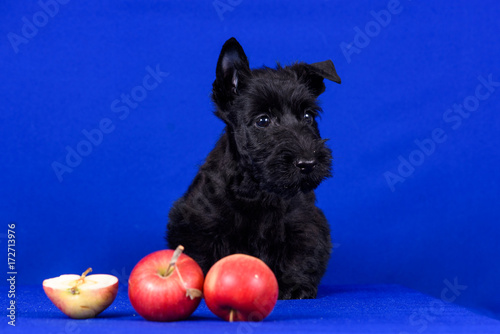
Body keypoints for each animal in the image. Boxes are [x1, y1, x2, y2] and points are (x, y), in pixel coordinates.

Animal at [167, 37, 340, 298]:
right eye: (263, 120)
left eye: (308, 116)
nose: (308, 164)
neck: (257, 188)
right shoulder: (199, 221)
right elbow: (200, 254)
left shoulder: (304, 223)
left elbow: (300, 255)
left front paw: (297, 285)